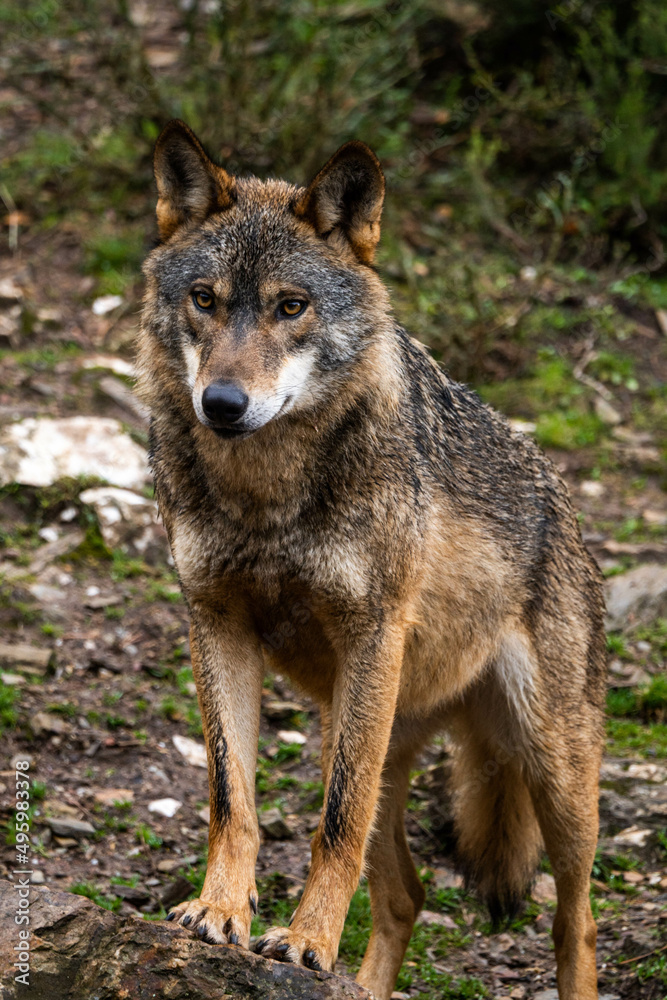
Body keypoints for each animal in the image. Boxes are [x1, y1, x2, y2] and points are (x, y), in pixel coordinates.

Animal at [137, 119, 606, 1000]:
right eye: (204, 299)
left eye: (291, 306)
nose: (222, 404)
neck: (267, 497)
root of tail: (561, 503)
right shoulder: (215, 624)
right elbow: (230, 798)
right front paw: (220, 912)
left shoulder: (370, 633)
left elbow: (335, 824)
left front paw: (305, 941)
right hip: (369, 730)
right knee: (406, 896)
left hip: (550, 772)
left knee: (574, 920)